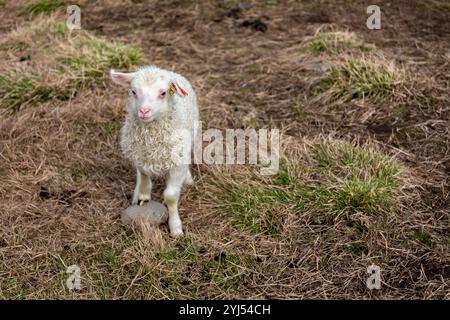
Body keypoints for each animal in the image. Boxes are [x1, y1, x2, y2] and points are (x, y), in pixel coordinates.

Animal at [109, 65, 199, 236]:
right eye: (133, 91)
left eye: (163, 93)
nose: (144, 111)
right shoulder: (140, 156)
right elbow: (144, 177)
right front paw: (142, 195)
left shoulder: (177, 163)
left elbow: (170, 196)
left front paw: (175, 228)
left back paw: (188, 179)